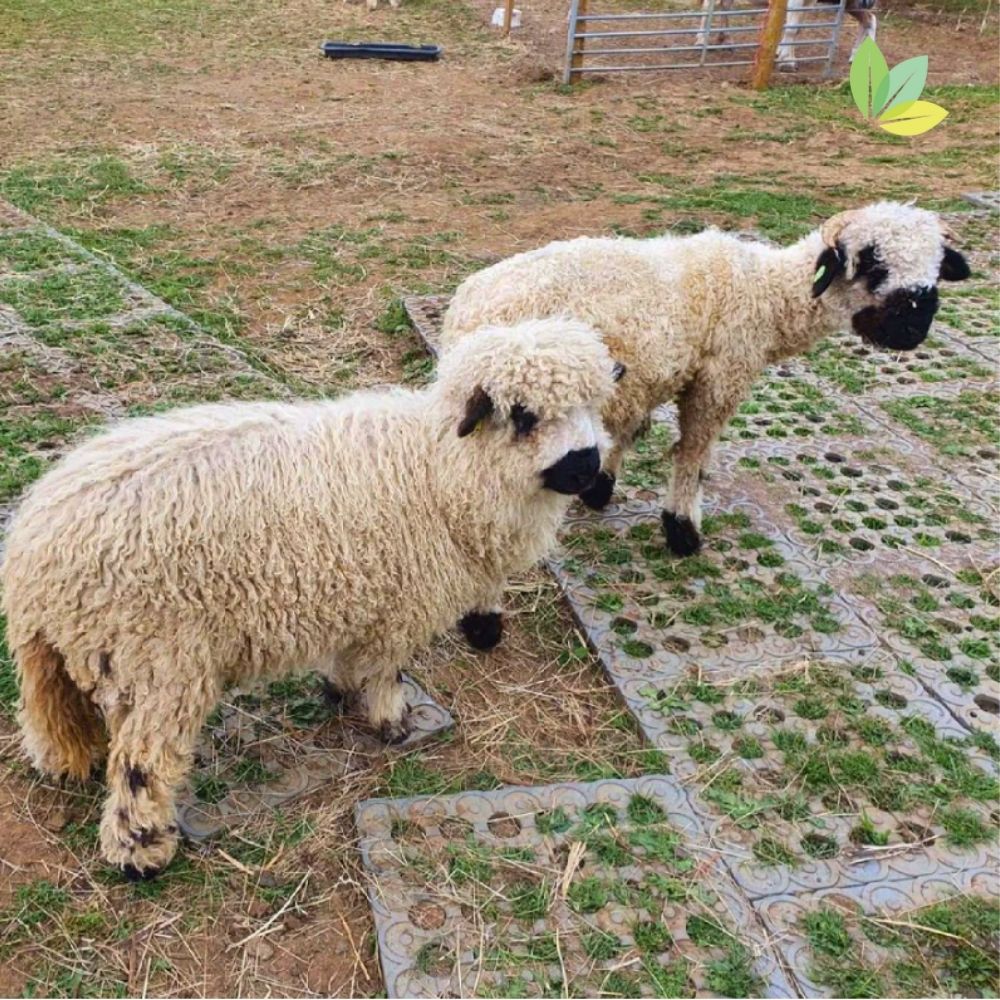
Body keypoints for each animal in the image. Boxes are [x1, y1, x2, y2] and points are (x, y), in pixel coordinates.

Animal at [1, 317, 618, 880]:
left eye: (595, 403)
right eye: (524, 416)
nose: (587, 466)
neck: (437, 471)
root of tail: (36, 547)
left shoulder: (362, 597)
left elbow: (350, 659)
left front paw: (339, 691)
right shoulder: (399, 609)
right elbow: (386, 671)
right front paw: (393, 723)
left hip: (60, 650)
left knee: (50, 712)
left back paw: (66, 764)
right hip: (158, 661)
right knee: (141, 765)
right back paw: (141, 854)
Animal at [441, 202, 971, 560]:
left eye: (937, 266)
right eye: (873, 262)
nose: (913, 328)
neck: (766, 294)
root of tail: (463, 319)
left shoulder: (643, 377)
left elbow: (627, 432)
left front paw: (601, 487)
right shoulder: (719, 378)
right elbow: (694, 453)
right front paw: (681, 528)